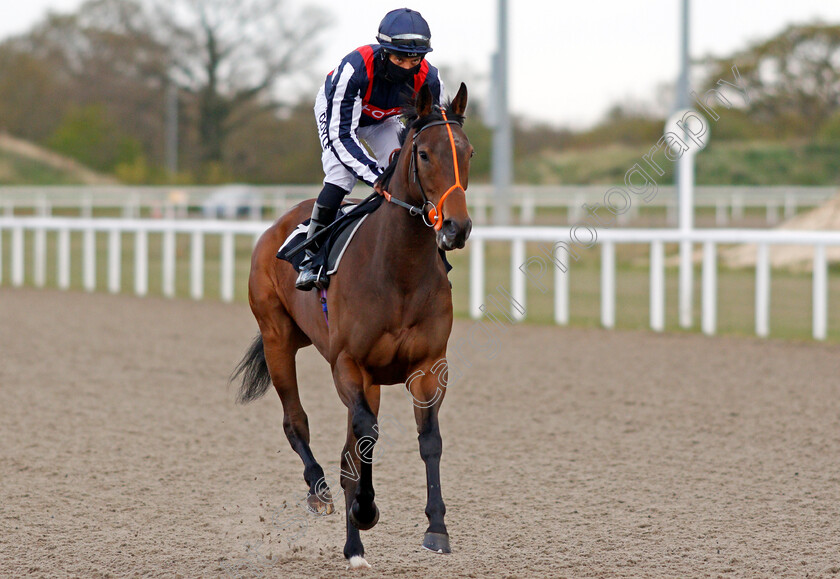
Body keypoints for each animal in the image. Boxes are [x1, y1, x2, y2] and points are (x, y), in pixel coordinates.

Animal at [233, 84, 472, 568]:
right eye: (423, 154)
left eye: (469, 152)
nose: (457, 228)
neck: (399, 271)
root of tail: (277, 226)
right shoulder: (348, 364)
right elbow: (366, 437)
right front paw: (365, 510)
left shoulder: (428, 366)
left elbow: (428, 440)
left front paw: (436, 529)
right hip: (278, 339)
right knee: (296, 422)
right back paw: (322, 494)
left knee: (348, 450)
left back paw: (353, 545)